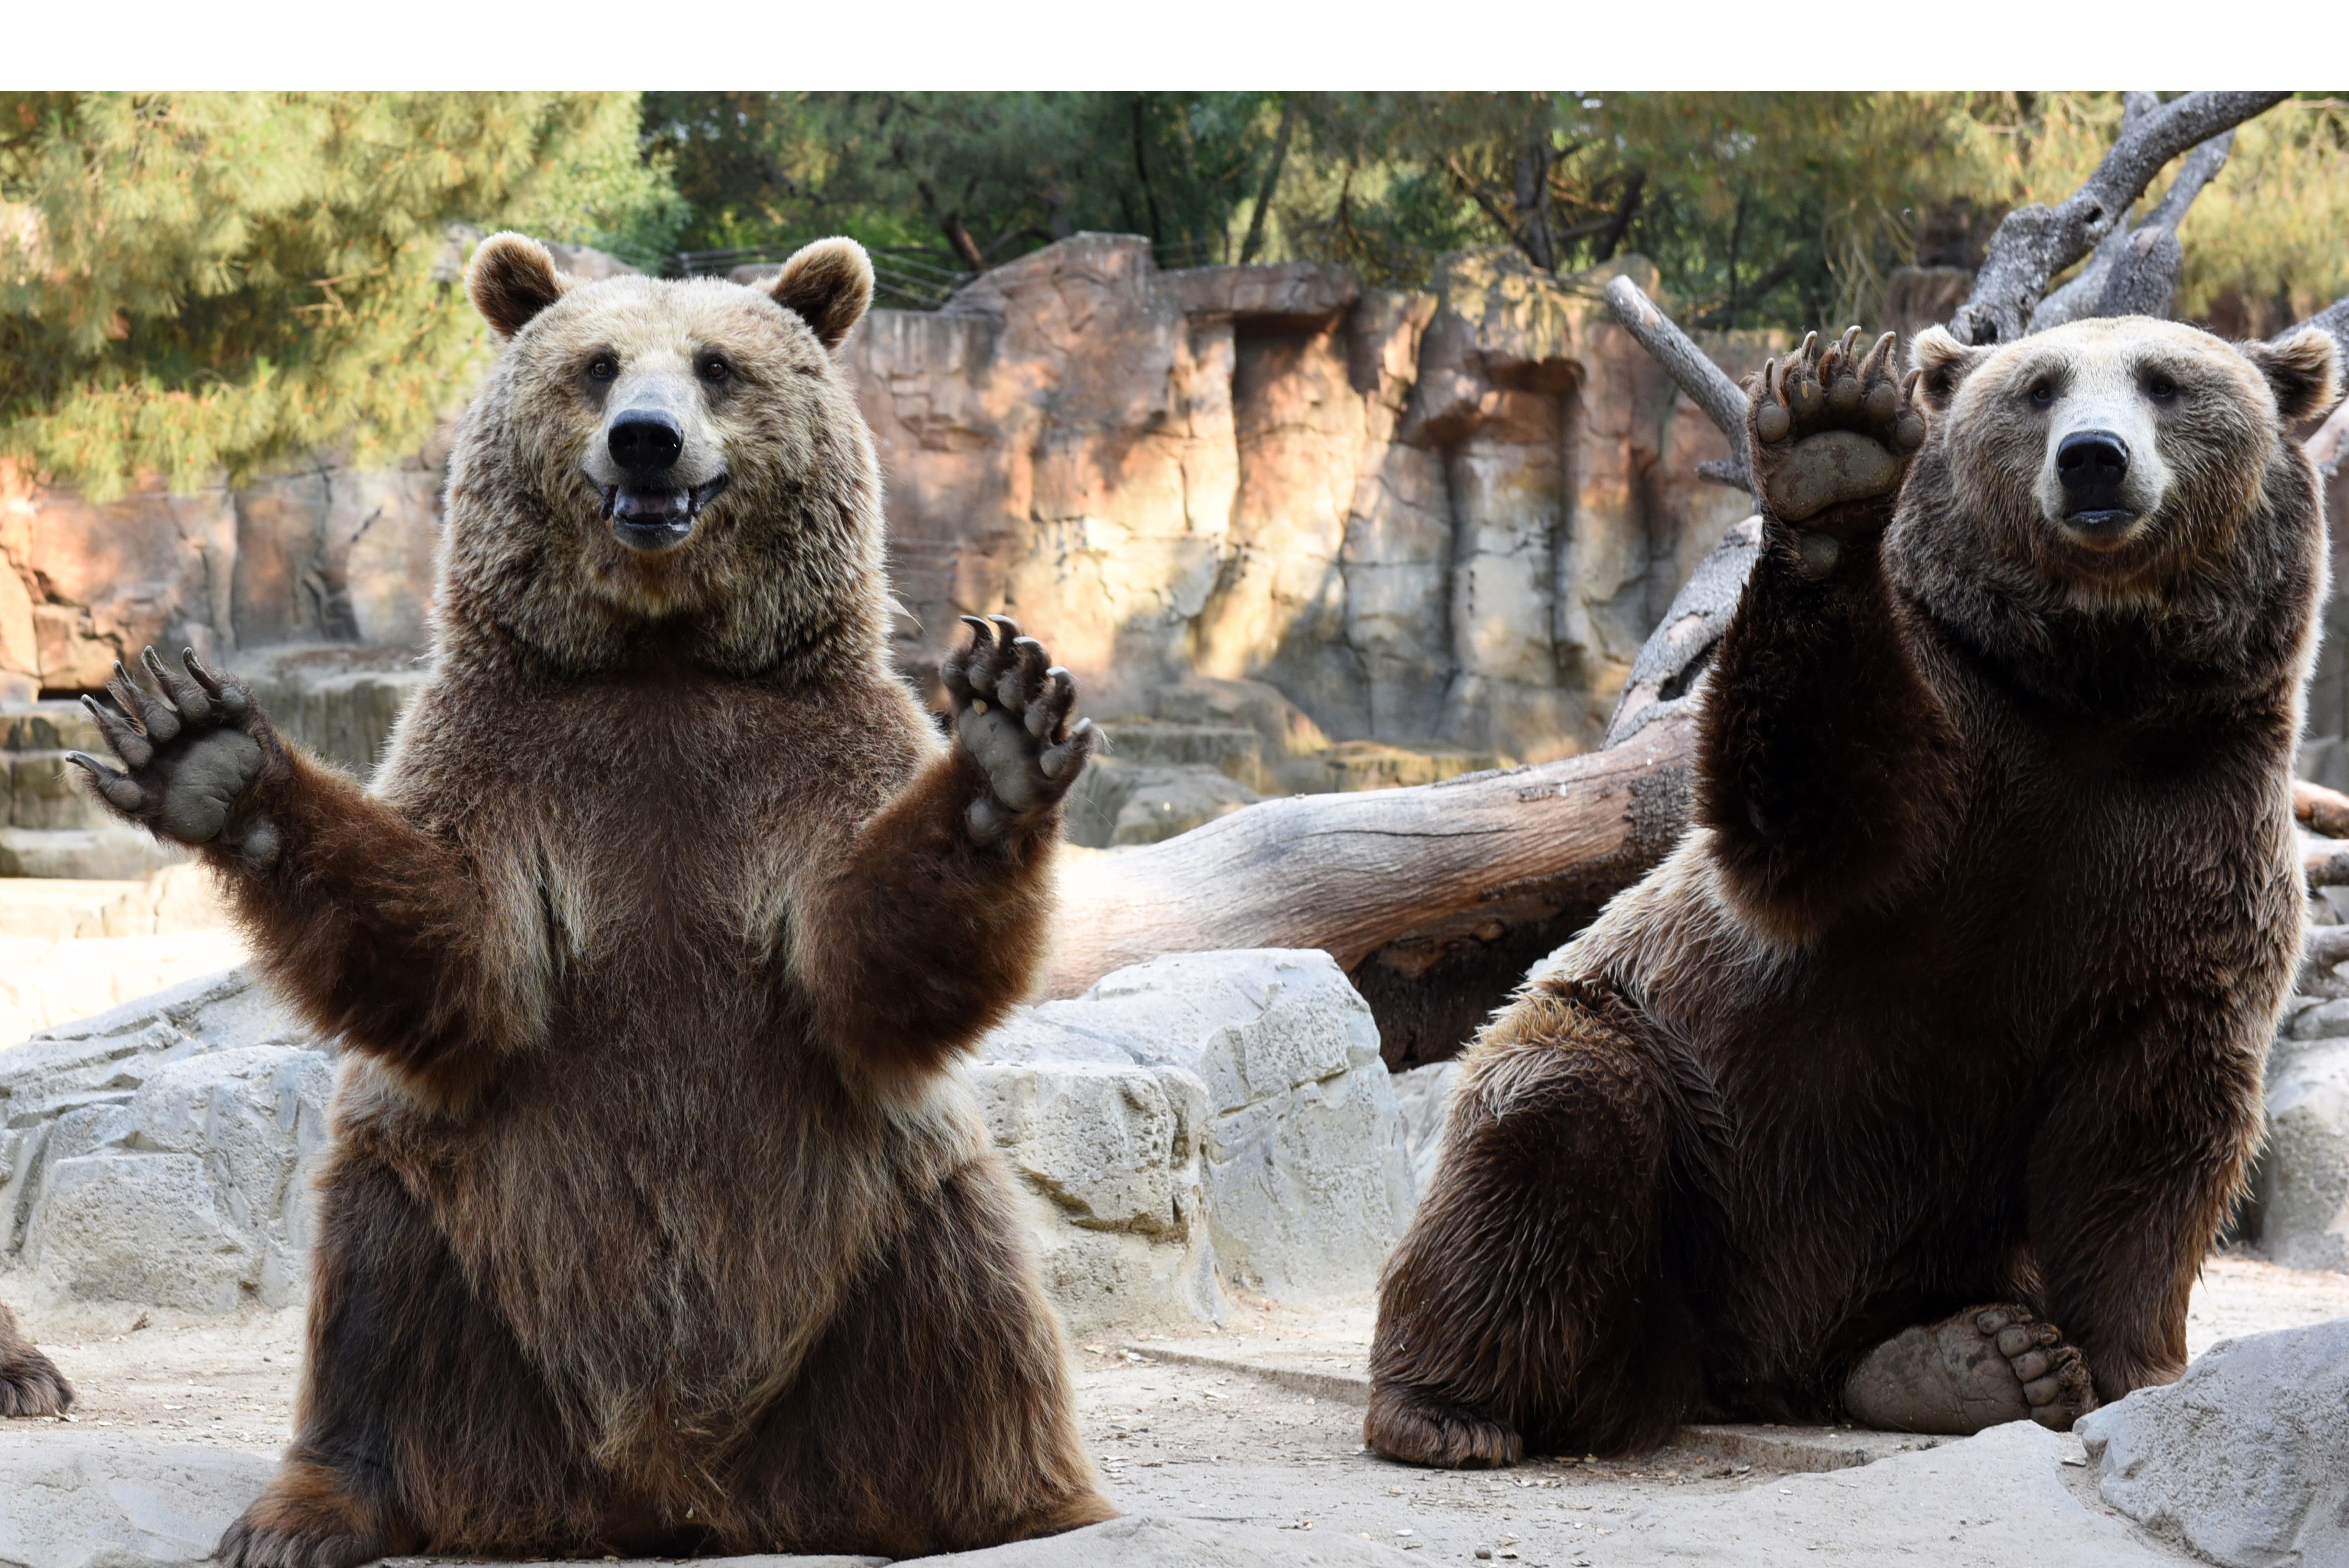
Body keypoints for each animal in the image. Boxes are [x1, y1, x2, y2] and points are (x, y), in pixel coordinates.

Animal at [66, 236, 1109, 1568]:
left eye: (717, 366)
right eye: (598, 364)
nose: (646, 441)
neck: (658, 654)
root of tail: (661, 1484)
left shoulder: (803, 756)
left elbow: (865, 966)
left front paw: (1001, 741)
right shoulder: (510, 755)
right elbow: (464, 958)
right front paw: (206, 750)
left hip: (881, 1217)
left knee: (968, 1323)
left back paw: (1009, 1508)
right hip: (463, 1226)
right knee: (373, 1313)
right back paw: (312, 1510)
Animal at [1372, 312, 2339, 1465]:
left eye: (2166, 381)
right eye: (2040, 388)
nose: (2093, 459)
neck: (2094, 695)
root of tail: (1756, 1363)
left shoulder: (2191, 837)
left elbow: (2152, 1119)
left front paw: (2126, 1368)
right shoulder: (1953, 764)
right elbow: (1807, 812)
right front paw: (1833, 445)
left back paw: (1971, 1358)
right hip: (1677, 1096)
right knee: (1551, 1140)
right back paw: (1449, 1408)